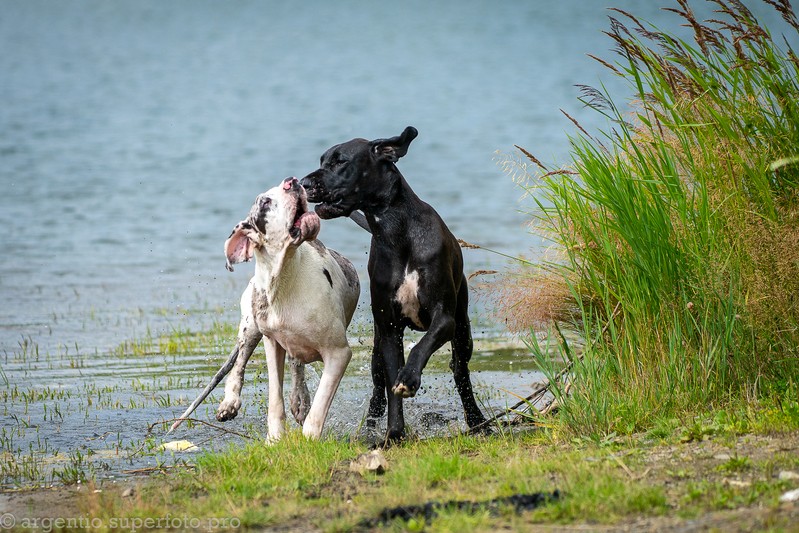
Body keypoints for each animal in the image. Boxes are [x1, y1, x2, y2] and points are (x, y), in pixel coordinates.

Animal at [170, 177, 360, 438]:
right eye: (265, 202)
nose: (292, 181)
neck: (284, 279)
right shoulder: (272, 343)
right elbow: (274, 398)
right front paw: (275, 438)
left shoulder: (338, 353)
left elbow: (319, 408)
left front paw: (309, 439)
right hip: (249, 328)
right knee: (240, 363)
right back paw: (230, 402)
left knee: (296, 366)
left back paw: (300, 400)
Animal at [302, 125, 484, 440]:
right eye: (323, 160)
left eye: (340, 161)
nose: (303, 183)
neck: (396, 231)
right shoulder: (388, 329)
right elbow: (390, 384)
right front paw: (394, 434)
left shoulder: (444, 318)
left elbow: (422, 347)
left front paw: (409, 379)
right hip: (377, 349)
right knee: (378, 387)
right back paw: (371, 426)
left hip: (463, 333)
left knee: (461, 372)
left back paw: (477, 420)